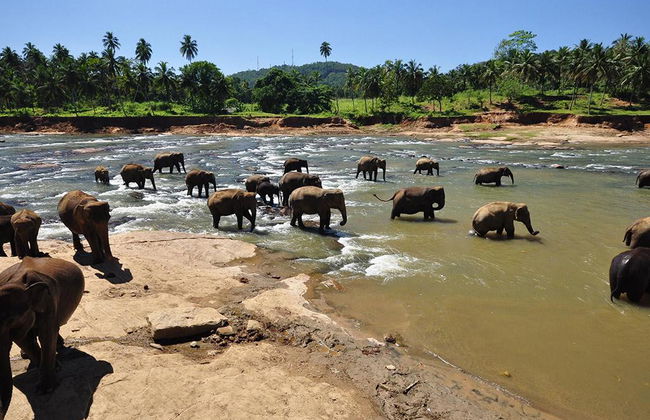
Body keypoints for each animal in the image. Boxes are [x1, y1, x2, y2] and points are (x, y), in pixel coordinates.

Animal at [0, 256, 84, 419]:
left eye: (11, 321)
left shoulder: (49, 302)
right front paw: (53, 367)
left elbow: (47, 334)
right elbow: (24, 339)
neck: (18, 282)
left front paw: (46, 389)